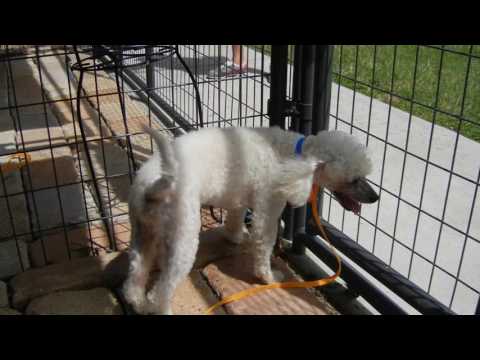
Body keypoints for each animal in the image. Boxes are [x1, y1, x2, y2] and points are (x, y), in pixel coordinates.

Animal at [122, 125, 376, 314]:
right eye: (354, 179)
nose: (376, 197)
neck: (293, 154)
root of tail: (154, 185)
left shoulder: (238, 198)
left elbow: (235, 220)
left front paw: (236, 238)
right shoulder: (269, 205)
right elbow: (264, 243)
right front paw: (269, 277)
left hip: (144, 232)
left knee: (136, 273)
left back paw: (138, 302)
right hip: (183, 233)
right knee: (162, 289)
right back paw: (159, 307)